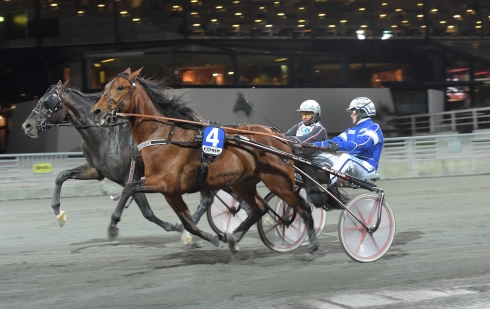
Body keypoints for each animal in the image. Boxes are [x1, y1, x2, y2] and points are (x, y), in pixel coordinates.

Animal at [89, 67, 318, 253]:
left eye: (120, 87)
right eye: (106, 86)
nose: (96, 111)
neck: (163, 135)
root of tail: (277, 135)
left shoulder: (164, 182)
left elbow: (130, 188)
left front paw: (113, 226)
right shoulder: (171, 192)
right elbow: (188, 223)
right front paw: (212, 237)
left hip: (278, 182)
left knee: (303, 207)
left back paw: (311, 244)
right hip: (243, 183)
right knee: (259, 209)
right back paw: (234, 237)